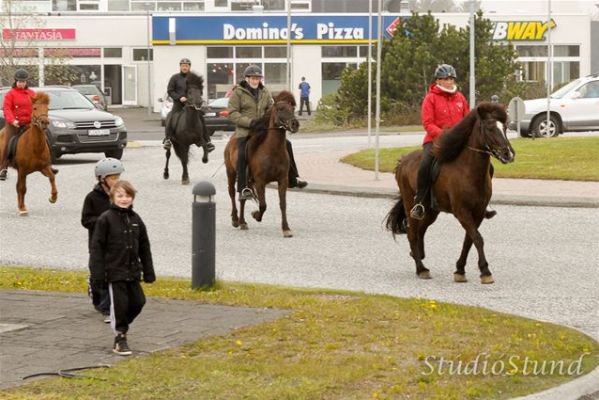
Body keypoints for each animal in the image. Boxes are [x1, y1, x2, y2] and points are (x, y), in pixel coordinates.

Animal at [224, 90, 302, 238]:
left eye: (293, 108)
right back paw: (235, 220)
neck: (272, 152)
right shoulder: (260, 181)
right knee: (232, 194)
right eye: (280, 108)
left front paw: (286, 228)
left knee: (242, 198)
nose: (295, 124)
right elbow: (263, 205)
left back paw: (242, 222)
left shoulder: (282, 180)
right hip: (231, 173)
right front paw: (256, 215)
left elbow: (282, 204)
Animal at [386, 103, 516, 284]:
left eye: (504, 128)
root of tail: (403, 160)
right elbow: (478, 238)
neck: (468, 170)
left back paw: (418, 255)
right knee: (412, 233)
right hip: (410, 203)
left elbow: (469, 240)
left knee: (420, 231)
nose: (508, 154)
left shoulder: (478, 212)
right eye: (490, 128)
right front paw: (485, 272)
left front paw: (460, 270)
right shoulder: (462, 211)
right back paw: (421, 268)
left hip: (431, 211)